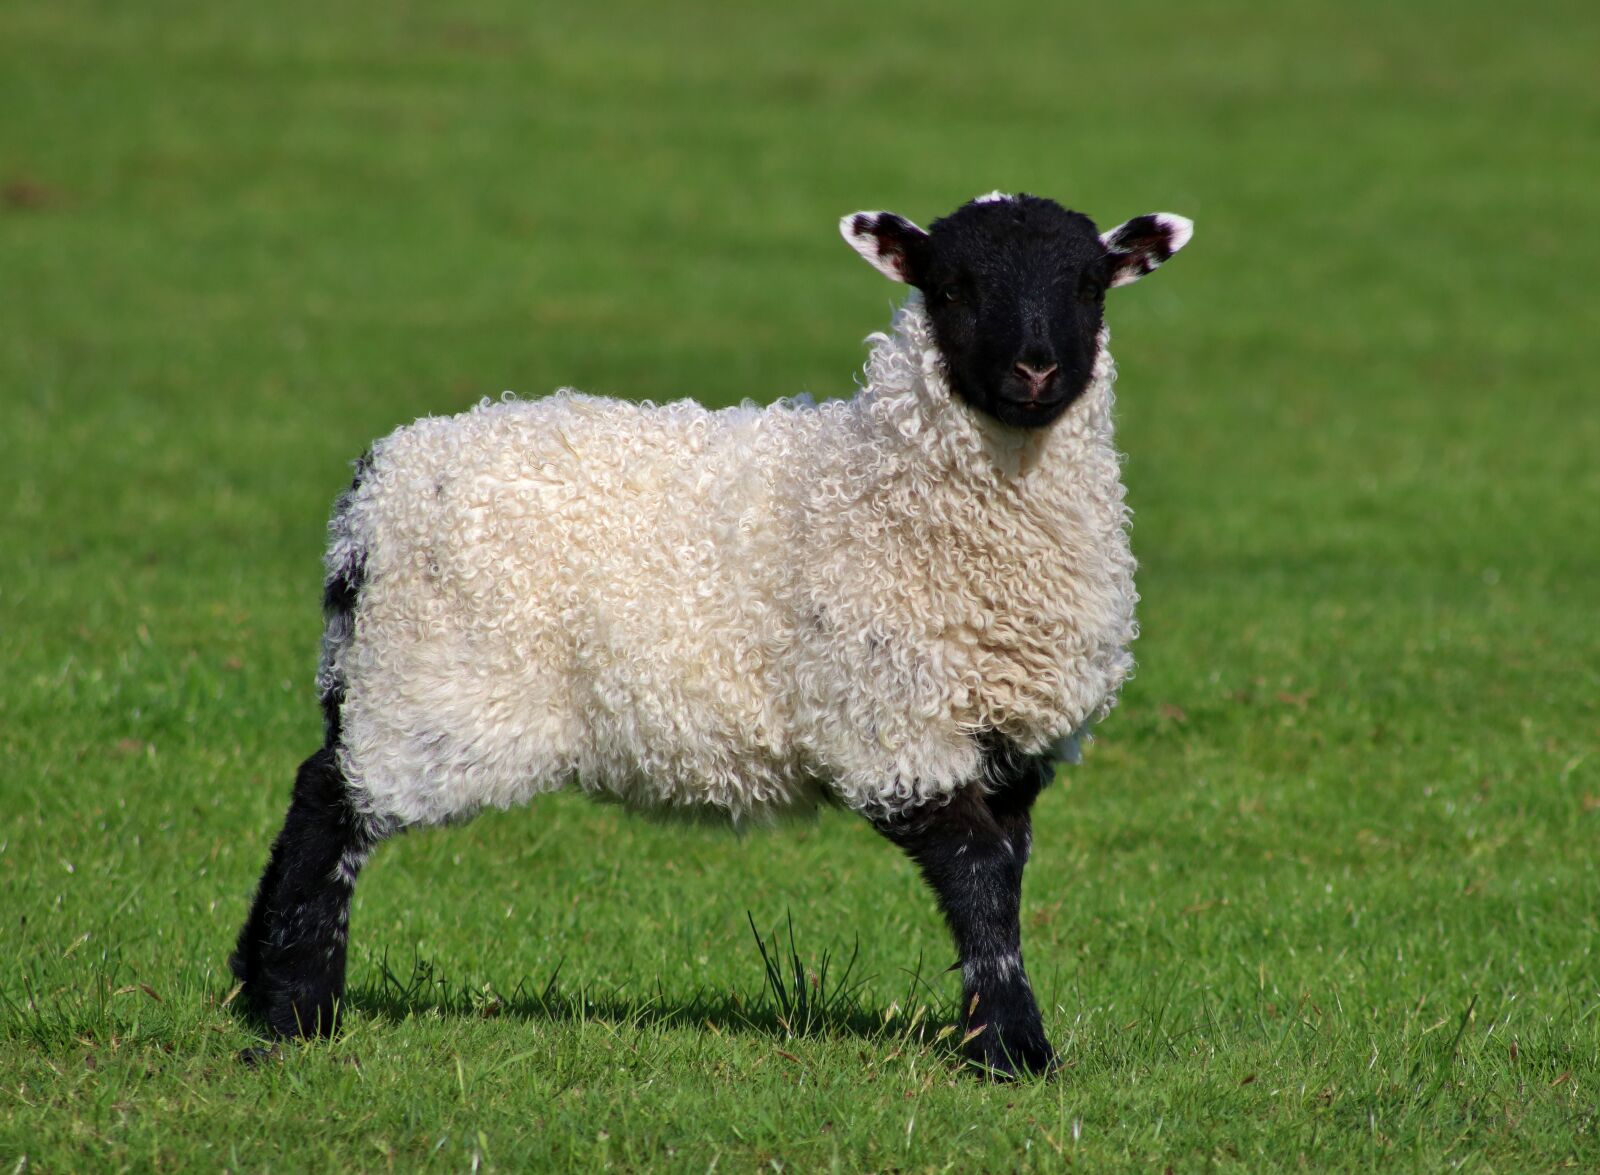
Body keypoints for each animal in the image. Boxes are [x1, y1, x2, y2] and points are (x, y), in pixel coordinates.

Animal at [232, 192, 1193, 1077]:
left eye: (1088, 286)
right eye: (953, 287)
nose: (1035, 370)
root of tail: (375, 488)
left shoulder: (1014, 746)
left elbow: (1005, 878)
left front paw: (991, 1034)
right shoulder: (891, 725)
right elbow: (980, 879)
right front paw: (1015, 1049)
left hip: (384, 671)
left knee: (315, 782)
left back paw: (250, 979)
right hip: (435, 680)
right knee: (330, 803)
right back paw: (294, 1011)